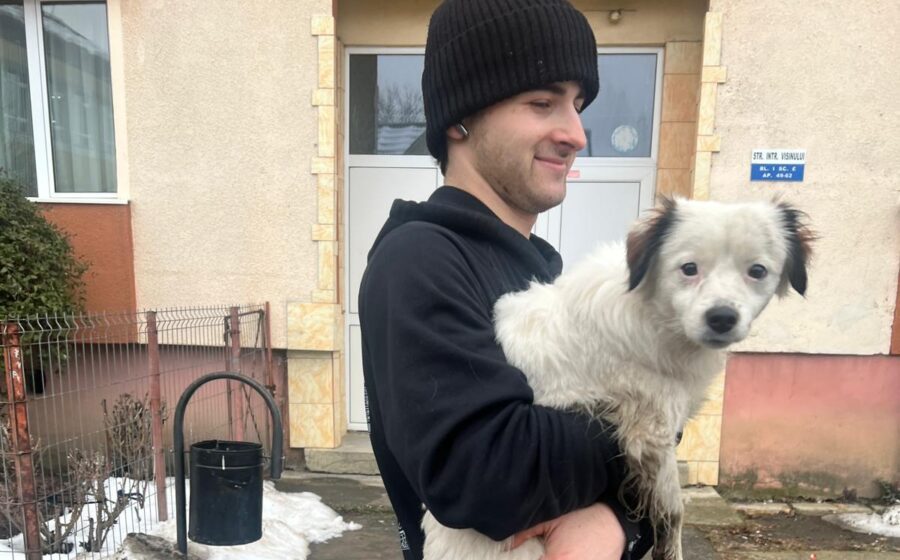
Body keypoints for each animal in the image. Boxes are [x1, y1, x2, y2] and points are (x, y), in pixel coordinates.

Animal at [422, 198, 814, 560]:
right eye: (689, 268)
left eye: (757, 271)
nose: (722, 318)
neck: (655, 314)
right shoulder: (652, 431)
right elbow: (674, 511)